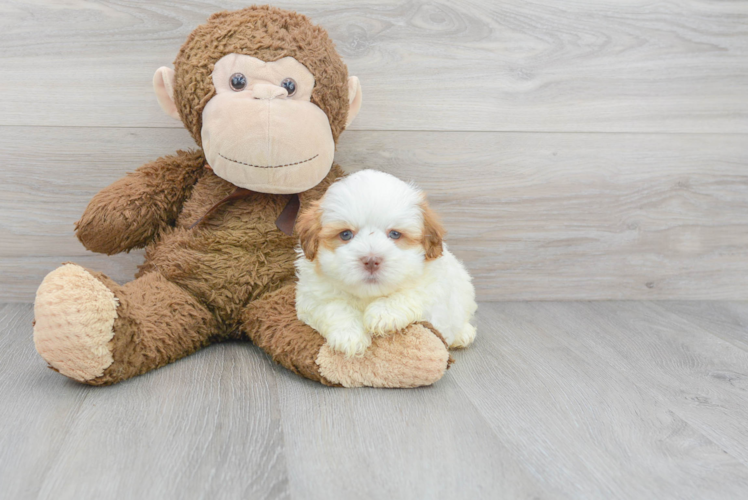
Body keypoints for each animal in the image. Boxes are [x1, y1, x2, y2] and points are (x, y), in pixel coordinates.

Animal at [296, 170, 476, 358]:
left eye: (395, 234)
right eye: (345, 234)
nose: (371, 261)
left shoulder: (433, 289)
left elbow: (412, 294)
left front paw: (383, 314)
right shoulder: (311, 297)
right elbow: (333, 306)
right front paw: (349, 336)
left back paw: (464, 333)